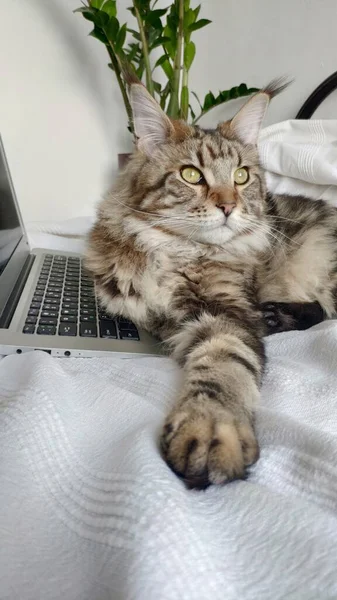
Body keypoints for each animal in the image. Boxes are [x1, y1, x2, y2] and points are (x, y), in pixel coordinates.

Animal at [84, 81, 336, 492]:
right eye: (191, 175)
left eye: (241, 176)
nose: (229, 206)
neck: (175, 251)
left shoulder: (226, 310)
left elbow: (224, 365)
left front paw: (211, 425)